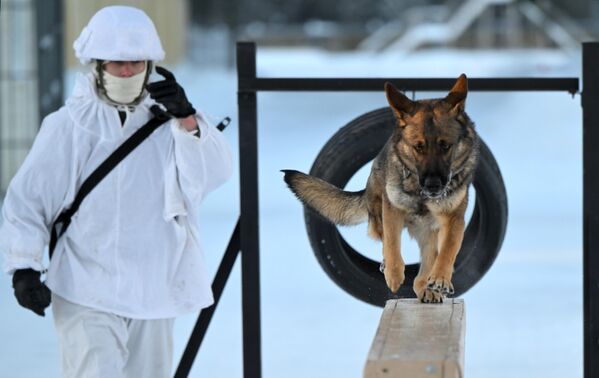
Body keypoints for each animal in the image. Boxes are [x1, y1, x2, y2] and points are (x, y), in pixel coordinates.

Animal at [284, 74, 480, 304]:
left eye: (445, 146)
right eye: (418, 147)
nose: (433, 185)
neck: (420, 194)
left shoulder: (453, 219)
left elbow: (447, 250)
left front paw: (440, 278)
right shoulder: (392, 208)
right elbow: (392, 242)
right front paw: (393, 274)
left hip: (429, 230)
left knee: (425, 265)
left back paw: (426, 286)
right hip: (378, 210)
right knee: (385, 238)